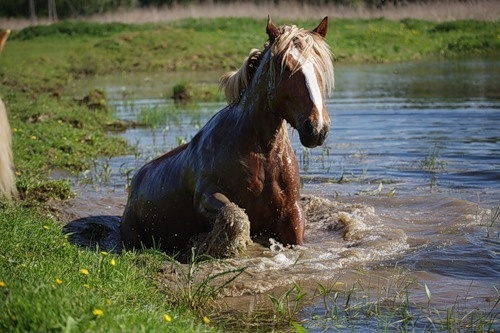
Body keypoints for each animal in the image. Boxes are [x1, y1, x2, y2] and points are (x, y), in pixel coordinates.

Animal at [119, 16, 334, 258]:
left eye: (321, 68)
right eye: (286, 66)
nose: (317, 128)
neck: (263, 152)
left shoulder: (291, 212)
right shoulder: (206, 197)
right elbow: (236, 217)